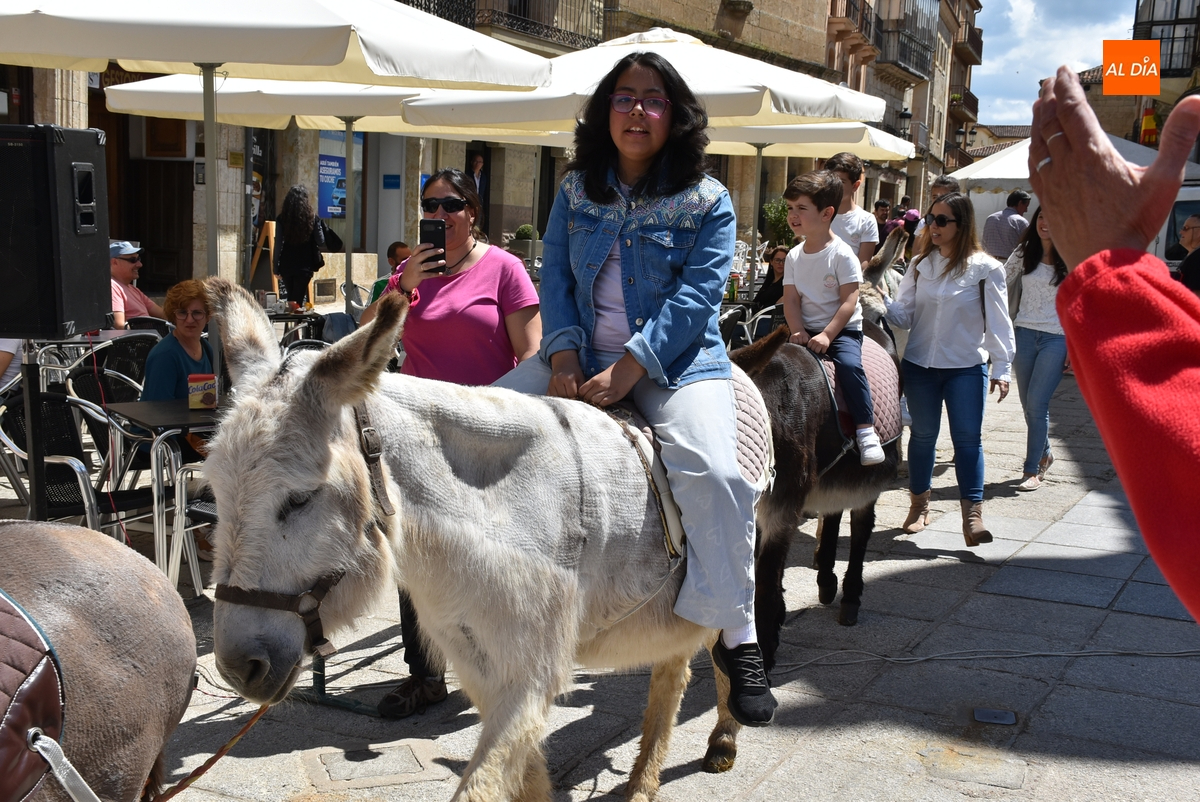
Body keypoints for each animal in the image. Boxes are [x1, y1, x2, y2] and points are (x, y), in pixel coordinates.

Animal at [203, 278, 767, 801]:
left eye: (299, 499)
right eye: (216, 492)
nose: (237, 669)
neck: (489, 512)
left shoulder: (528, 680)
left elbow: (482, 784)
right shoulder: (482, 669)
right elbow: (525, 777)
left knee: (721, 631)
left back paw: (725, 734)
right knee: (674, 668)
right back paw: (648, 778)